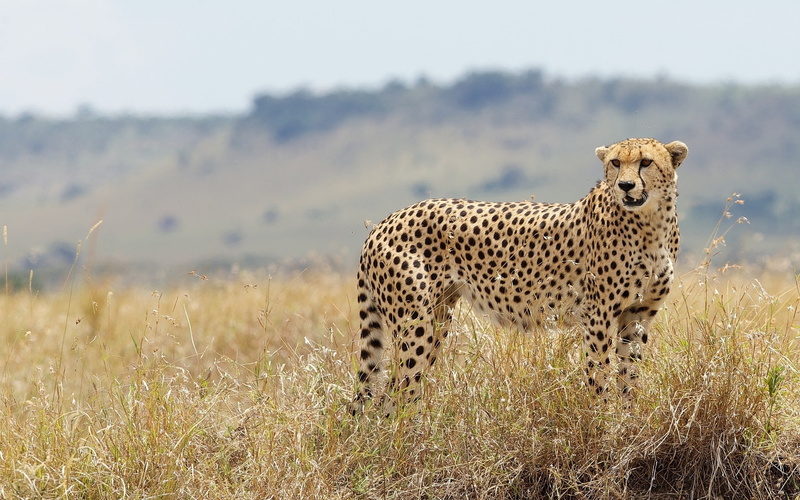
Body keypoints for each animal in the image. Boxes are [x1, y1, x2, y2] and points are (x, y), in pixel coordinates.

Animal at [351, 138, 688, 414]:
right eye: (616, 163)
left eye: (646, 162)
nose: (626, 186)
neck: (650, 223)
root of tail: (384, 222)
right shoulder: (598, 314)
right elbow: (599, 372)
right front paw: (604, 423)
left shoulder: (638, 313)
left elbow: (629, 375)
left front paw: (630, 419)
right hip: (415, 322)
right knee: (394, 392)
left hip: (438, 315)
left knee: (397, 390)